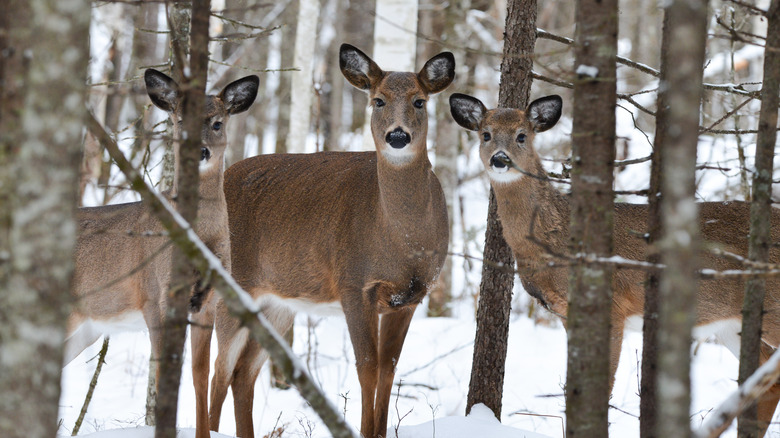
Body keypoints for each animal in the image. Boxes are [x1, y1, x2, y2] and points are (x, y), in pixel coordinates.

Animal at [64, 70, 258, 408]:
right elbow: (162, 374)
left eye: (217, 122)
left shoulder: (208, 302)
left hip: (85, 326)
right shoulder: (155, 296)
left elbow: (199, 376)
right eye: (180, 120)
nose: (201, 151)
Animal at [195, 43, 454, 438]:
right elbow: (367, 369)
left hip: (277, 303)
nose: (397, 136)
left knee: (243, 374)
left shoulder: (410, 297)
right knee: (218, 375)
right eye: (378, 100)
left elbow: (389, 370)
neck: (402, 240)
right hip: (230, 290)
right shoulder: (354, 285)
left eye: (419, 101)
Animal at [448, 92, 780, 434]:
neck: (556, 240)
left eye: (522, 136)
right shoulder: (565, 313)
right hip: (732, 325)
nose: (500, 159)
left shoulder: (613, 305)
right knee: (766, 380)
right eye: (485, 134)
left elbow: (600, 389)